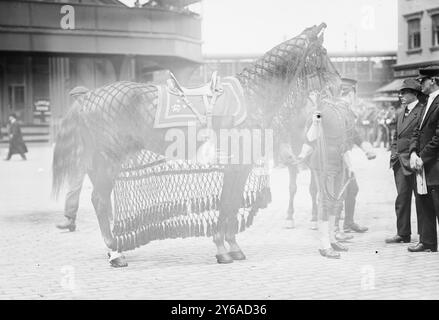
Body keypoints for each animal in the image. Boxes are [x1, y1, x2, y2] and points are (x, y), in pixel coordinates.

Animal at [51, 23, 340, 268]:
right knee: (100, 202)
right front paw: (222, 248)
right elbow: (226, 204)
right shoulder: (234, 166)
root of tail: (87, 96)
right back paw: (115, 253)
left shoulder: (240, 166)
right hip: (106, 161)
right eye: (323, 52)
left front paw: (233, 246)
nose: (339, 84)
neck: (251, 95)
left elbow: (232, 203)